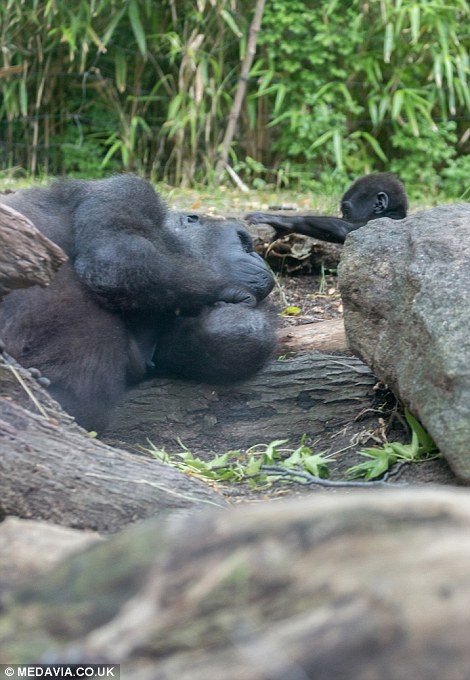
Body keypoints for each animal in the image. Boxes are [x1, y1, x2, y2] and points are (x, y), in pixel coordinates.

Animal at [0, 175, 278, 430]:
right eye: (244, 243)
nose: (262, 261)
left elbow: (231, 337)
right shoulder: (130, 191)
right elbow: (116, 256)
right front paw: (230, 290)